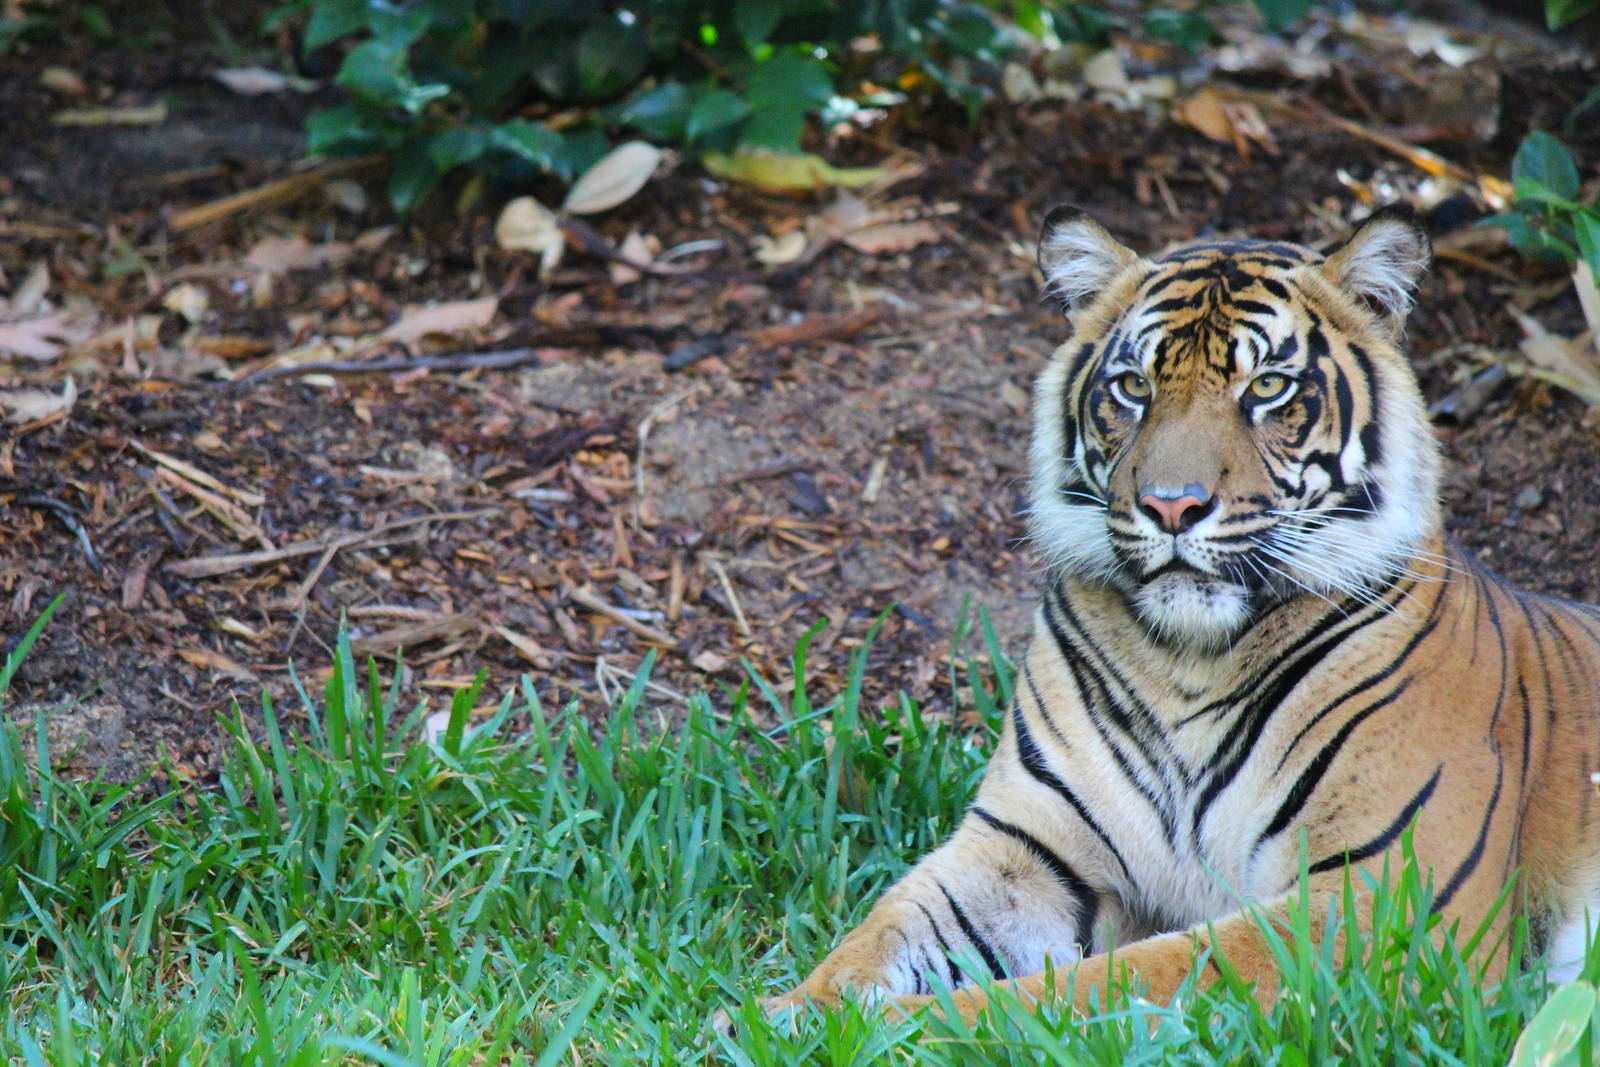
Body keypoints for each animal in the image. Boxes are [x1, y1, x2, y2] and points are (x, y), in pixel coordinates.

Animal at [755, 205, 1600, 1027]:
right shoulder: (1025, 845)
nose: (1171, 506)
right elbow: (880, 931)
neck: (1188, 661)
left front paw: (893, 1027)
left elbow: (1106, 981)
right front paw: (784, 1014)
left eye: (1268, 386)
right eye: (1134, 385)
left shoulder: (1384, 896)